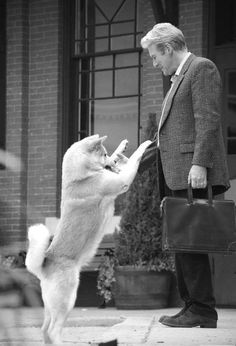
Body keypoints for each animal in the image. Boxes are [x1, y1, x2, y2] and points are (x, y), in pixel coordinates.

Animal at [25, 135, 151, 344]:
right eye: (104, 155)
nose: (111, 164)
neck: (79, 177)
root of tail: (45, 264)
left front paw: (122, 148)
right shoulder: (121, 181)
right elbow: (136, 157)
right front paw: (144, 144)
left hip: (51, 306)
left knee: (44, 330)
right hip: (67, 300)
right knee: (52, 330)